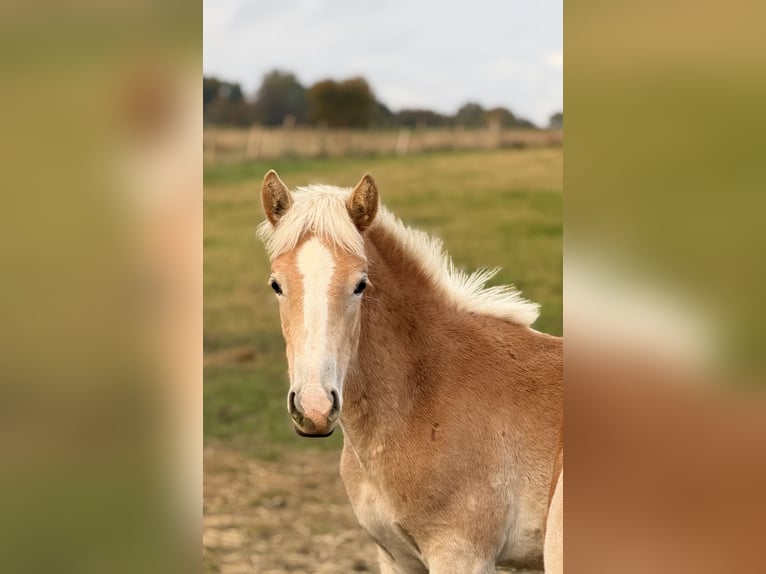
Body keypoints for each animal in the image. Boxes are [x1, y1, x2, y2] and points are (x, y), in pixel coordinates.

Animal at [258, 169, 564, 572]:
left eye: (360, 284)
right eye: (276, 284)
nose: (314, 408)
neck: (424, 394)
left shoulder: (461, 555)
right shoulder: (395, 556)